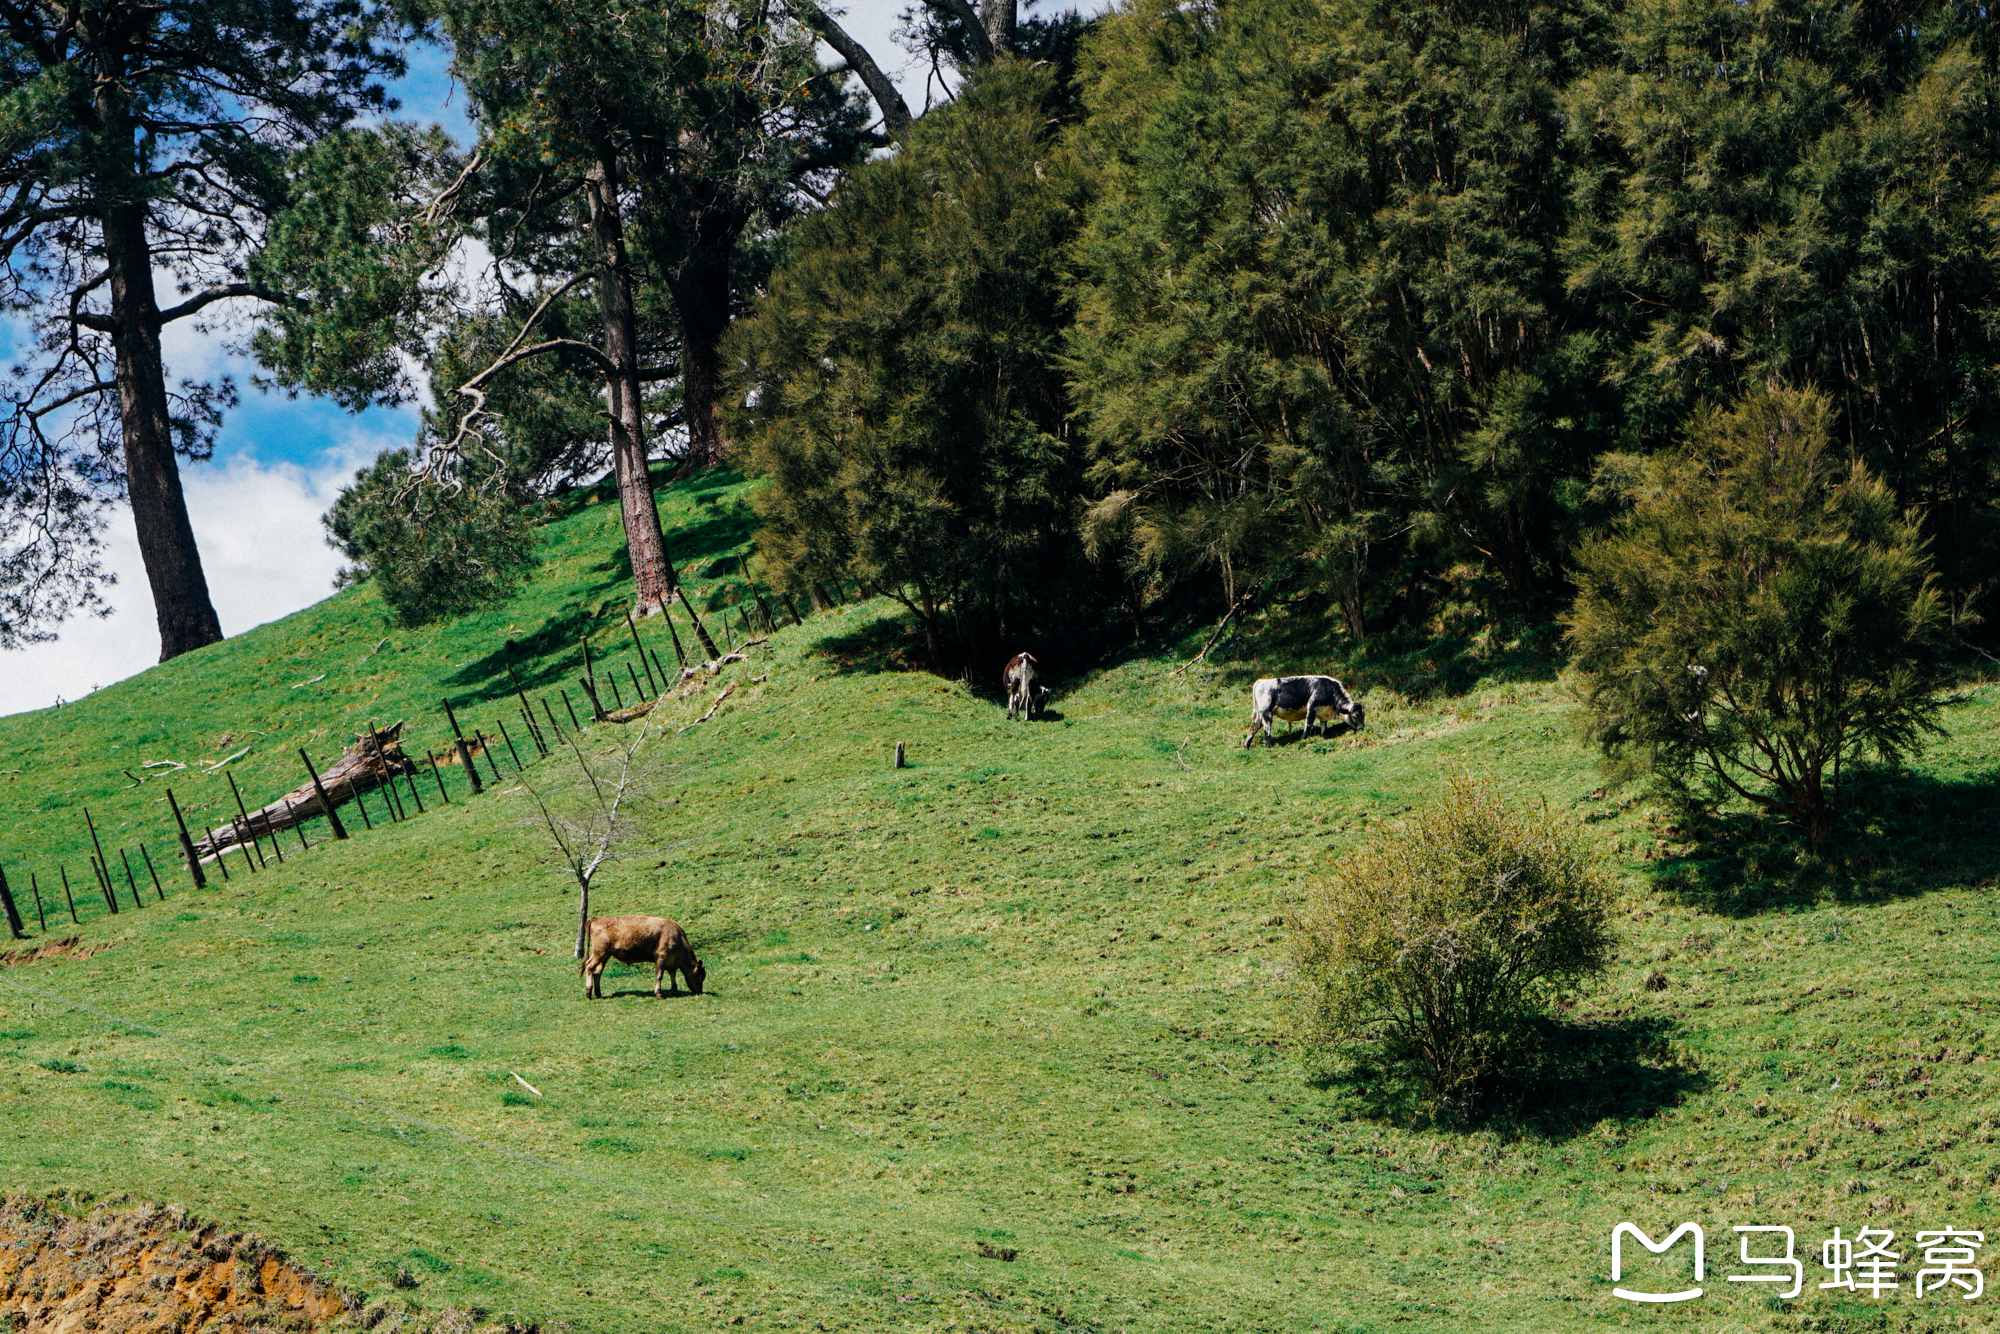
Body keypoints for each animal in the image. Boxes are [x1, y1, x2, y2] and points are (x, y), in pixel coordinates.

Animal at [1240, 672, 1368, 748]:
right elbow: (1308, 723)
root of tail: (1260, 681)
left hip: (1259, 714)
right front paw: (1303, 738)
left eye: (1363, 715)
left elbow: (1323, 725)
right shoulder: (1312, 705)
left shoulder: (1323, 713)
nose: (1362, 728)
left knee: (1253, 727)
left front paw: (1324, 736)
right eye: (1355, 716)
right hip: (1267, 713)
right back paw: (1270, 745)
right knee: (1266, 729)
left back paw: (1247, 745)